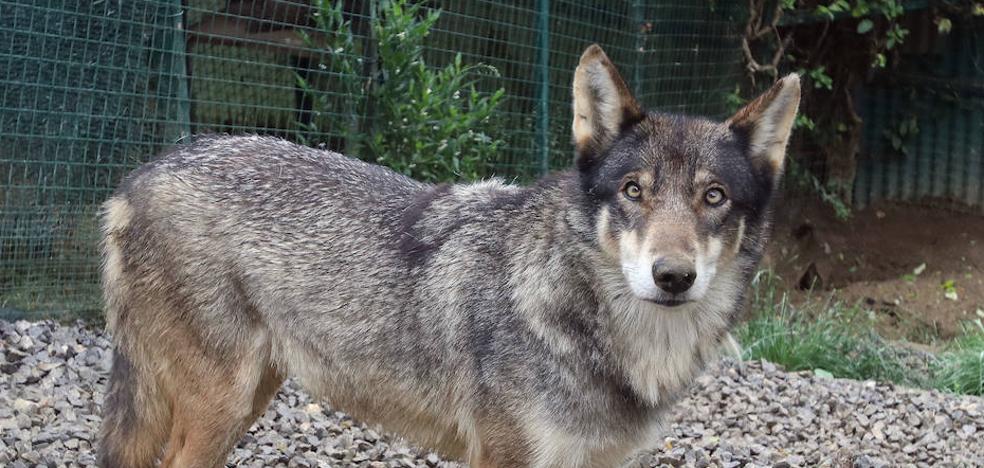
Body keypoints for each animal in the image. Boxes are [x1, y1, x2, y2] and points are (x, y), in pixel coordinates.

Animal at [98, 44, 799, 468]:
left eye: (714, 197)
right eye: (633, 191)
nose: (673, 277)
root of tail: (140, 176)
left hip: (246, 399)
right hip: (218, 407)